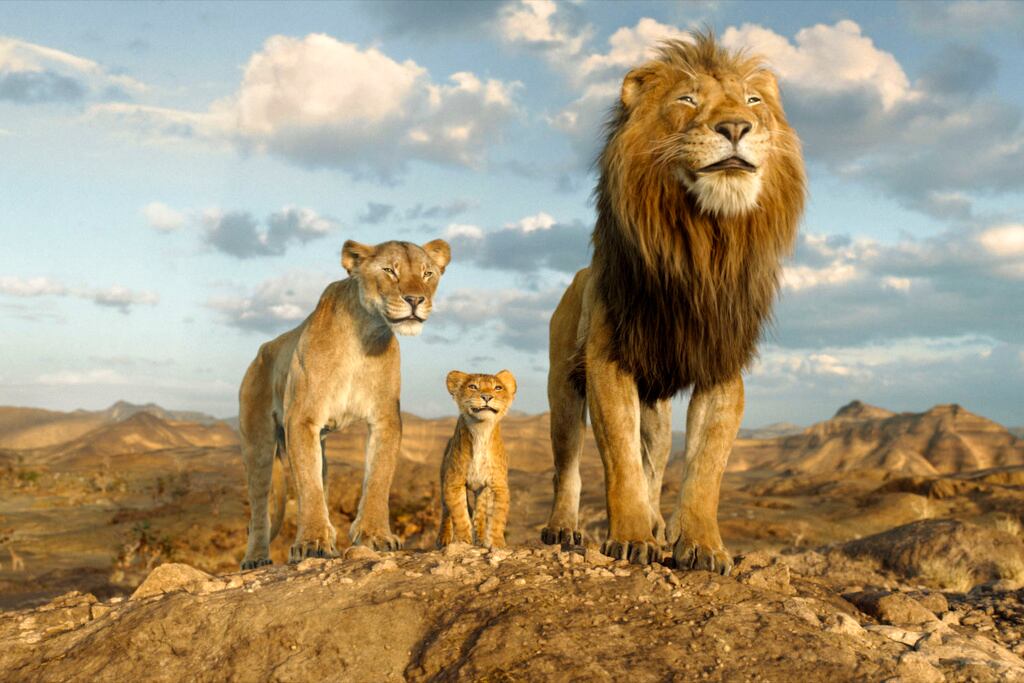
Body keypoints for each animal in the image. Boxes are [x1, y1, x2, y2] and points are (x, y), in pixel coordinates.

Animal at [239, 238, 451, 568]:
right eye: (389, 271)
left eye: (427, 273)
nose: (416, 299)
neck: (365, 334)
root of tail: (262, 351)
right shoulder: (302, 419)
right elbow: (308, 486)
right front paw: (312, 542)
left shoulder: (385, 418)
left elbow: (378, 478)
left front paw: (376, 535)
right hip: (258, 443)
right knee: (260, 506)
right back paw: (256, 558)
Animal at [436, 370, 517, 549]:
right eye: (473, 386)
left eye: (498, 388)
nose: (487, 397)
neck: (481, 430)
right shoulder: (453, 483)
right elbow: (459, 515)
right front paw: (462, 541)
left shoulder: (498, 486)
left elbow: (497, 518)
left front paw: (496, 543)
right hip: (444, 479)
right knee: (445, 511)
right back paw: (443, 539)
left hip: (482, 491)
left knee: (480, 515)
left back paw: (480, 538)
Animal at [540, 32, 805, 573]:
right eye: (687, 99)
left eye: (754, 101)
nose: (736, 127)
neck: (703, 244)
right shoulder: (608, 361)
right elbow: (620, 461)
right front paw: (630, 537)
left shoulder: (721, 365)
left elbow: (705, 468)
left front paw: (702, 546)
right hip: (563, 388)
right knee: (568, 464)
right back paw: (563, 528)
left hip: (656, 411)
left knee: (656, 462)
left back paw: (658, 521)